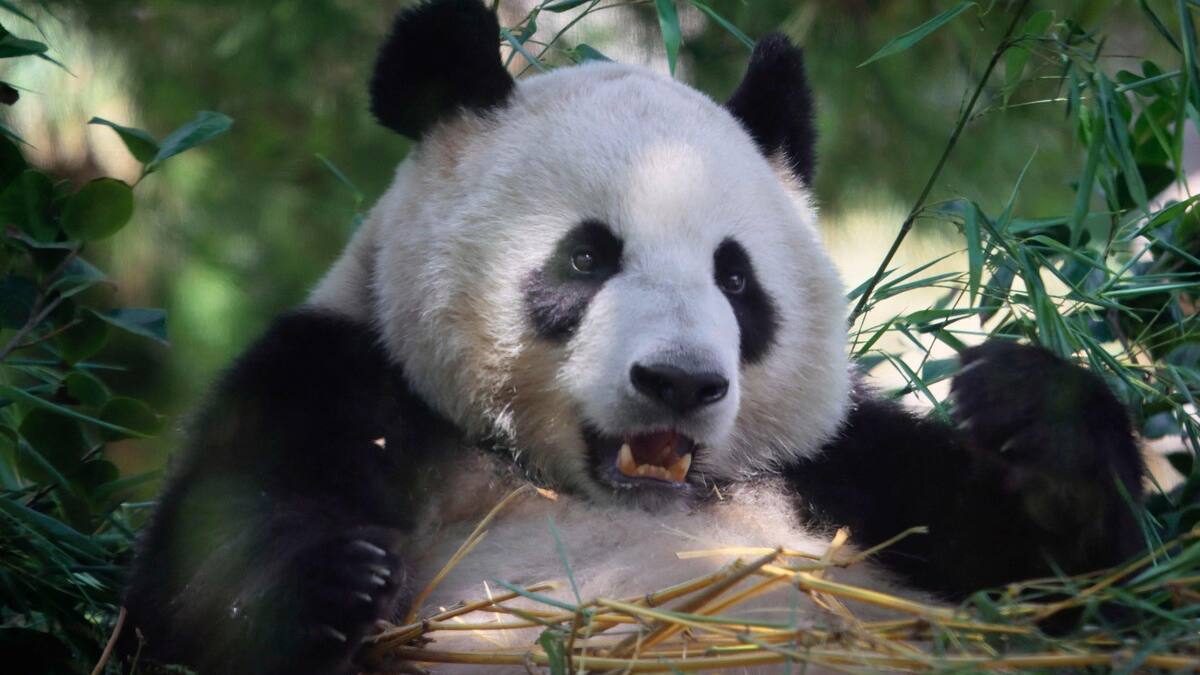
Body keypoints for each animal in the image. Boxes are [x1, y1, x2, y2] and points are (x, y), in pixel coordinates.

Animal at [123, 1, 1147, 673]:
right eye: (586, 258)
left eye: (735, 278)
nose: (682, 383)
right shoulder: (338, 380)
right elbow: (179, 598)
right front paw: (338, 584)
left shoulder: (839, 467)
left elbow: (1087, 593)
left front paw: (1033, 414)